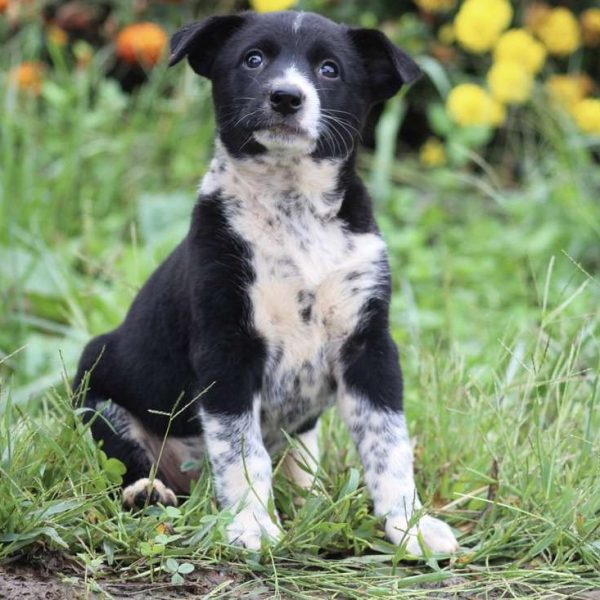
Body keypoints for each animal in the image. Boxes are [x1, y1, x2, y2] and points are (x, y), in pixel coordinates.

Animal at [75, 9, 460, 556]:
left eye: (329, 69)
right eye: (253, 59)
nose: (285, 97)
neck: (293, 209)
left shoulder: (369, 344)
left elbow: (389, 445)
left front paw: (410, 526)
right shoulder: (227, 346)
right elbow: (241, 449)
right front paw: (254, 524)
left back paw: (309, 492)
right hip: (97, 391)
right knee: (127, 461)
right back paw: (147, 492)